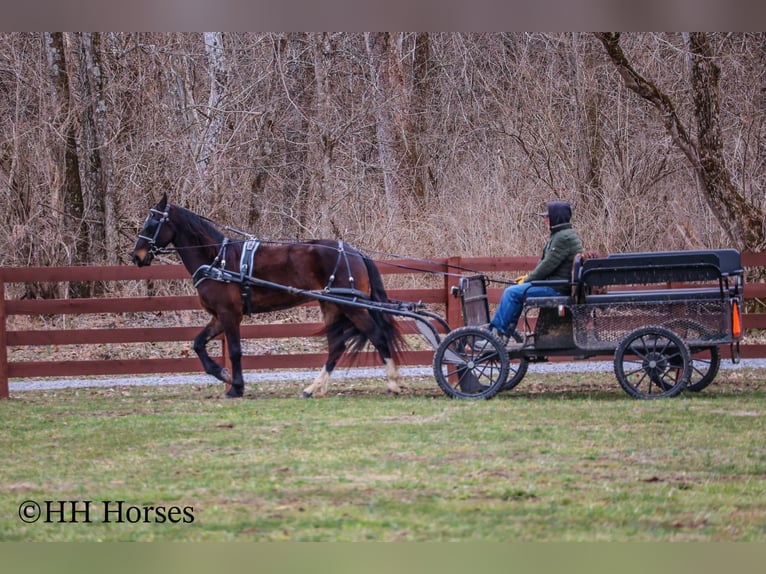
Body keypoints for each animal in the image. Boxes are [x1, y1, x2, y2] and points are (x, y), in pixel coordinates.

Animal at [130, 195, 408, 400]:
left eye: (152, 223)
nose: (137, 256)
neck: (217, 260)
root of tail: (354, 251)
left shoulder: (230, 314)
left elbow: (235, 350)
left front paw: (236, 387)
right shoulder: (219, 317)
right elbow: (198, 344)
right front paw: (222, 374)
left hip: (353, 307)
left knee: (377, 335)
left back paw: (393, 384)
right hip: (333, 305)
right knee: (336, 346)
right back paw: (314, 388)